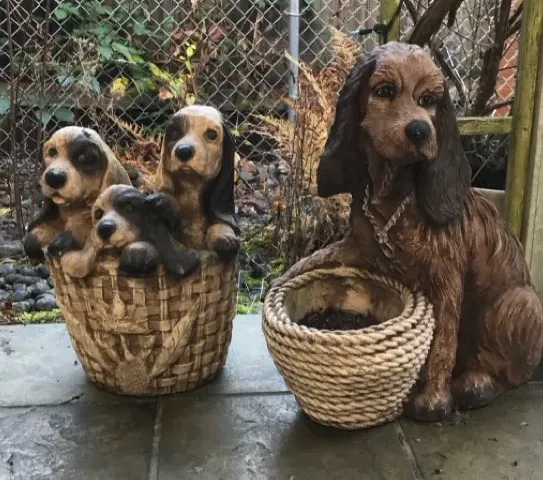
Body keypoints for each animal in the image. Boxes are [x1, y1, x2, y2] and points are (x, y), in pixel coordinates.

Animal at [150, 105, 240, 261]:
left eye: (212, 134)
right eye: (175, 132)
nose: (184, 151)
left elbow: (222, 225)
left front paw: (225, 238)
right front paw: (164, 204)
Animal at [276, 42, 543, 422]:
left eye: (429, 99)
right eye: (385, 91)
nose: (420, 130)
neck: (395, 199)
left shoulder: (446, 281)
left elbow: (443, 341)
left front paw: (433, 402)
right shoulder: (358, 246)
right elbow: (315, 259)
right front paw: (282, 282)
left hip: (516, 305)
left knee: (508, 373)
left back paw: (476, 383)